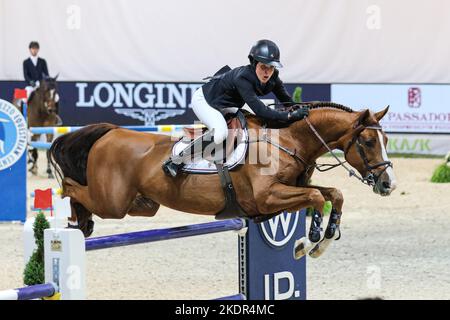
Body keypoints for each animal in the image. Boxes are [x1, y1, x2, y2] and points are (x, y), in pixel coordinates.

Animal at [47, 102, 396, 260]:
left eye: (386, 140)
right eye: (367, 142)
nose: (388, 184)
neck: (288, 139)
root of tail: (110, 133)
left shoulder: (288, 192)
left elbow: (333, 194)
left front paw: (324, 240)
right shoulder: (267, 197)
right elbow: (316, 198)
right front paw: (308, 241)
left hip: (142, 205)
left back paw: (82, 221)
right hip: (113, 203)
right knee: (74, 188)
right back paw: (70, 216)